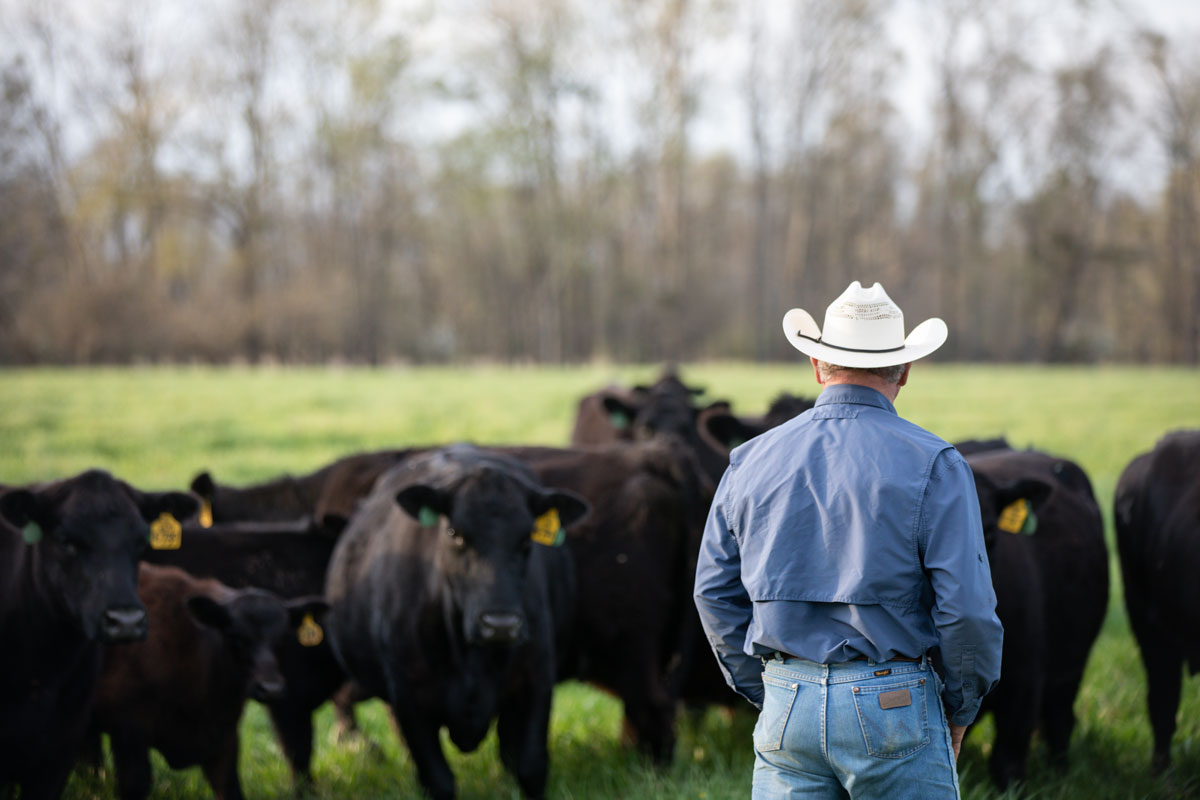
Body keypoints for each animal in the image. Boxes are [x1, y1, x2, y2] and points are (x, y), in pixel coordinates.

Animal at [90, 563, 328, 800]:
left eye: (283, 637)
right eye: (235, 635)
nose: (271, 689)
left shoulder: (224, 742)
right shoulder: (129, 735)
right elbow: (135, 783)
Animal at [326, 448, 588, 796]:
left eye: (527, 538)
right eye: (455, 533)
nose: (500, 624)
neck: (470, 659)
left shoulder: (535, 681)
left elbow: (530, 766)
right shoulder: (409, 697)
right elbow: (438, 779)